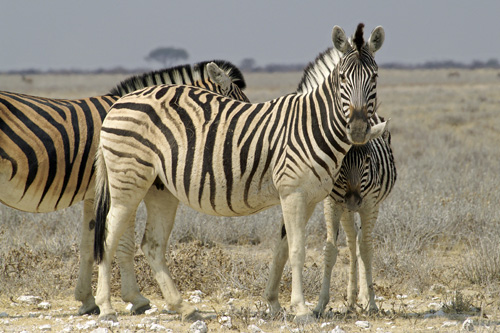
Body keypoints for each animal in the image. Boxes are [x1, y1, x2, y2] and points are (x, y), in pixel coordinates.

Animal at [0, 59, 249, 314]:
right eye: (239, 108)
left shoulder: (94, 196)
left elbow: (89, 246)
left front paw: (87, 300)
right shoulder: (123, 188)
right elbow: (124, 244)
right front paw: (135, 299)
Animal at [266, 113, 394, 316]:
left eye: (367, 160)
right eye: (341, 165)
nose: (352, 201)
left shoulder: (370, 204)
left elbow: (366, 249)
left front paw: (371, 303)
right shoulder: (332, 203)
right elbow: (330, 250)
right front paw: (320, 305)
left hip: (367, 207)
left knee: (361, 243)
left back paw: (363, 297)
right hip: (345, 210)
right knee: (352, 242)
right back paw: (351, 299)